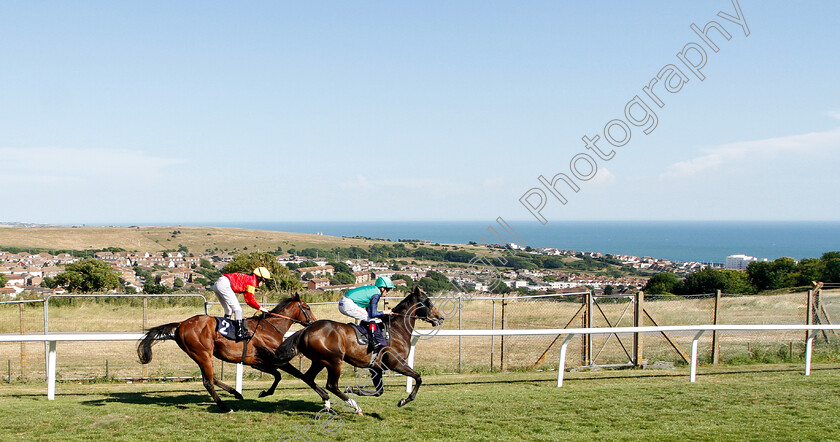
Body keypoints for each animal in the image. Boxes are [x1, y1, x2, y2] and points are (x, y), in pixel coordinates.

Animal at [138, 294, 316, 410]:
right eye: (307, 308)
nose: (313, 322)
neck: (270, 328)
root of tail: (181, 324)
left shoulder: (257, 362)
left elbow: (278, 375)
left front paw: (263, 392)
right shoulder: (271, 359)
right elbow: (285, 375)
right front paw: (265, 392)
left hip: (200, 356)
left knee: (212, 378)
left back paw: (236, 393)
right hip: (203, 354)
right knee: (208, 382)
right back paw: (224, 406)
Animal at [276, 286, 446, 414]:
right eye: (428, 302)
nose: (440, 317)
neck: (397, 329)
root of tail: (306, 330)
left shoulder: (376, 367)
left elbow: (379, 391)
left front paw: (354, 389)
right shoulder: (396, 364)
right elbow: (418, 377)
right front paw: (404, 400)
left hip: (319, 361)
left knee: (308, 378)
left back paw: (327, 401)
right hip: (334, 361)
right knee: (331, 385)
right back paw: (354, 406)